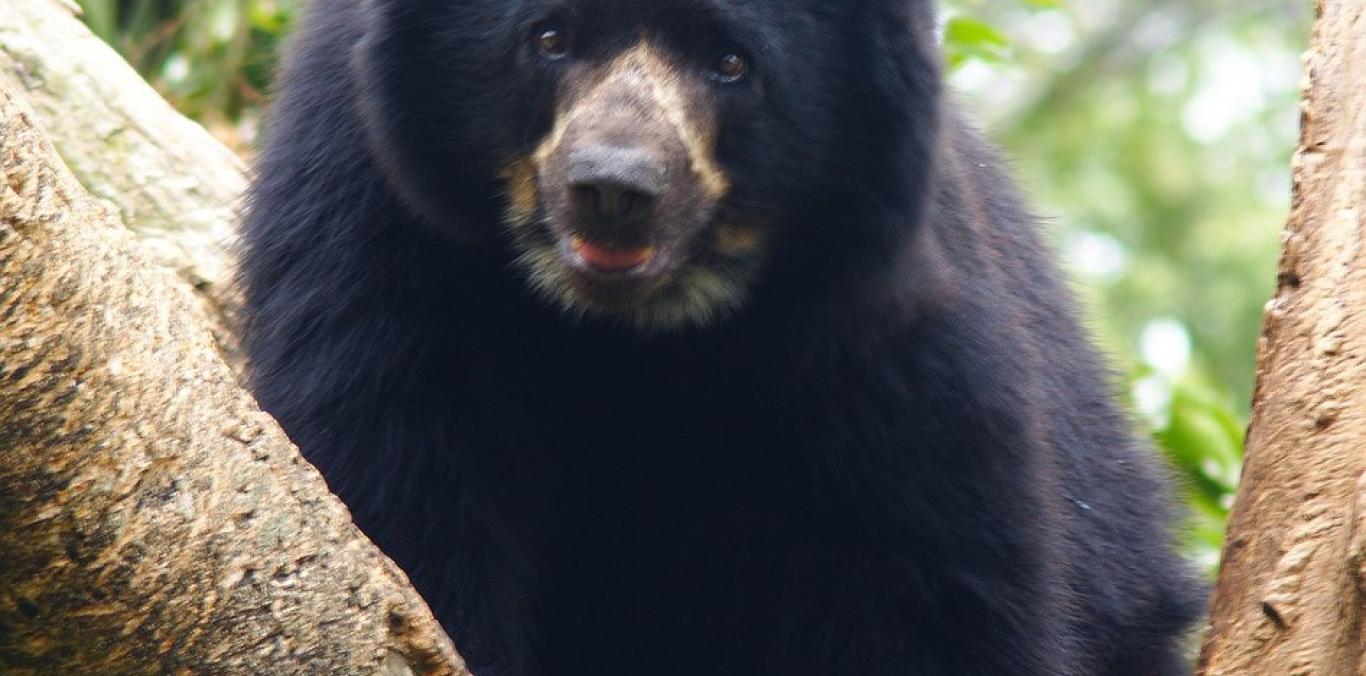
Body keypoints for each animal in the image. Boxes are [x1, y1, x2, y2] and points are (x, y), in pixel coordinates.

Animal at [245, 0, 1207, 674]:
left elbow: (929, 582)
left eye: (732, 62)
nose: (614, 189)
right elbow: (392, 473)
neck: (626, 332)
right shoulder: (361, 214)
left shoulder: (887, 333)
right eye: (549, 37)